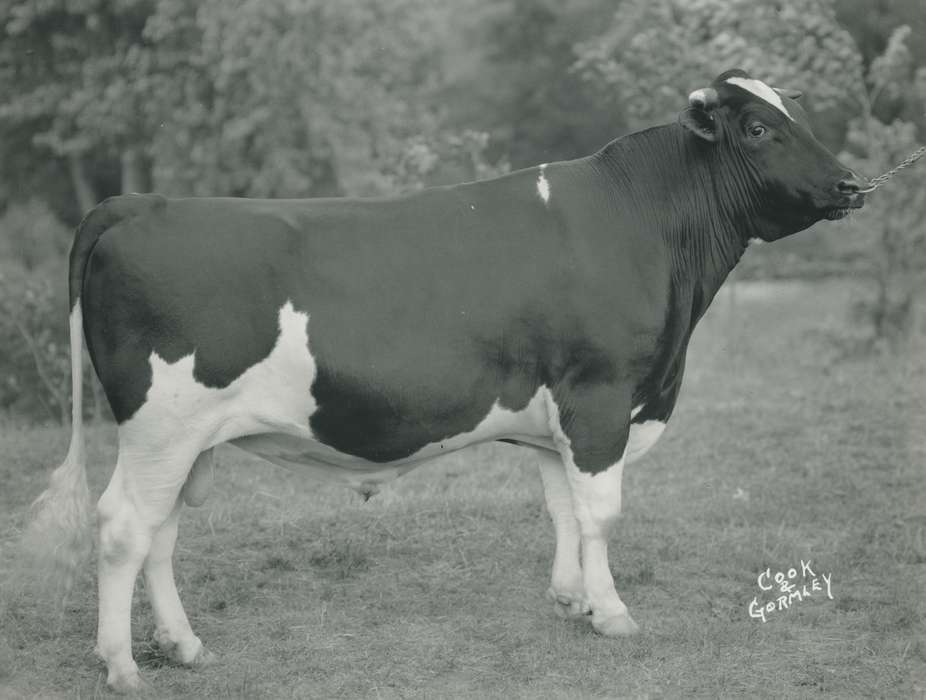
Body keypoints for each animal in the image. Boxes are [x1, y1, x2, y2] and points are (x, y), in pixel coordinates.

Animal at [29, 69, 865, 692]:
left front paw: (571, 600)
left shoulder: (556, 414)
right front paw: (612, 612)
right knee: (124, 528)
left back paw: (183, 645)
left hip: (187, 439)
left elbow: (562, 508)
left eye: (798, 114)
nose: (850, 186)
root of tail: (142, 202)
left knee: (161, 533)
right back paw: (123, 665)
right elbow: (599, 513)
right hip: (161, 422)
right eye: (757, 128)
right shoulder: (600, 398)